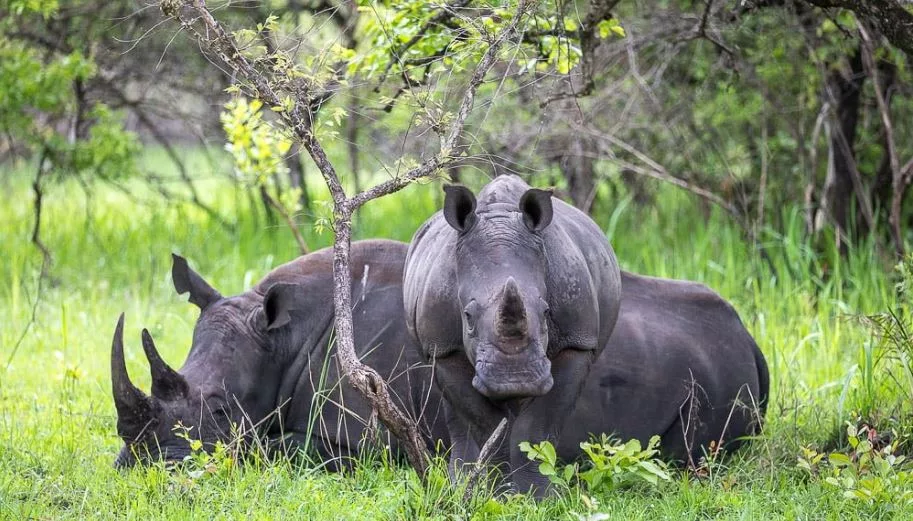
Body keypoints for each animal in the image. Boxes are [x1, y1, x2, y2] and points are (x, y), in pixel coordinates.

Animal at [402, 175, 624, 496]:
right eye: (467, 317)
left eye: (546, 312)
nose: (515, 379)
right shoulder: (443, 347)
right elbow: (484, 422)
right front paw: (495, 492)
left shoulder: (577, 343)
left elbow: (539, 424)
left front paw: (539, 496)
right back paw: (460, 483)